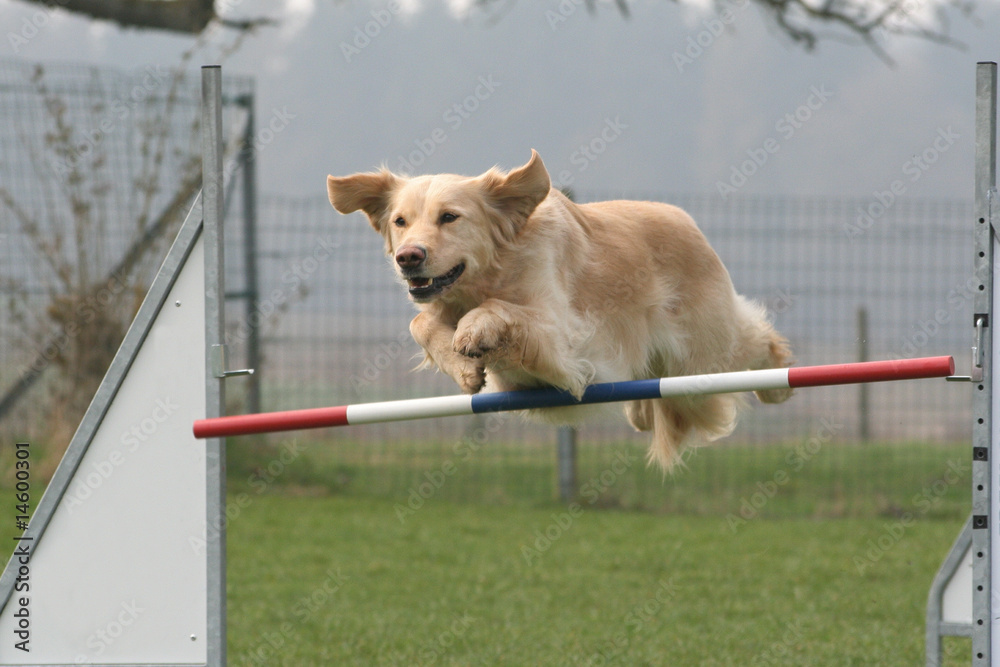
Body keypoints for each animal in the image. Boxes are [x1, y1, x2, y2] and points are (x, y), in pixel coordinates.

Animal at [324, 151, 792, 470]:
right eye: (400, 221)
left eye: (450, 217)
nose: (408, 257)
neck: (492, 273)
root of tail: (689, 223)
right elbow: (419, 320)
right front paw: (461, 366)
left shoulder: (563, 343)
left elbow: (500, 310)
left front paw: (473, 332)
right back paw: (639, 411)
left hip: (701, 356)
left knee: (756, 341)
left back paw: (778, 382)